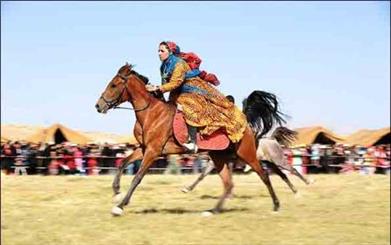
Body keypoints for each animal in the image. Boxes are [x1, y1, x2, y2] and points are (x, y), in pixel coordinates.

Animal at [95, 63, 284, 216]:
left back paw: (276, 206)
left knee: (264, 175)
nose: (98, 105)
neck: (151, 113)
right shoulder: (144, 148)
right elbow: (123, 162)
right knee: (228, 184)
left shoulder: (153, 151)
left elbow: (138, 177)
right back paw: (212, 211)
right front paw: (116, 191)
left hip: (246, 154)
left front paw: (120, 206)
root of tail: (246, 124)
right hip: (219, 157)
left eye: (113, 85)